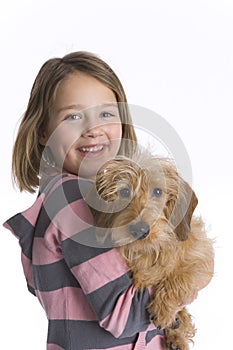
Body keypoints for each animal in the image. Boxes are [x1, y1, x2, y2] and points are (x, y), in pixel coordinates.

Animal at [87, 154, 215, 350]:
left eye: (158, 192)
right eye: (124, 191)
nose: (140, 230)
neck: (151, 248)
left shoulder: (201, 257)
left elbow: (182, 277)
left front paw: (164, 310)